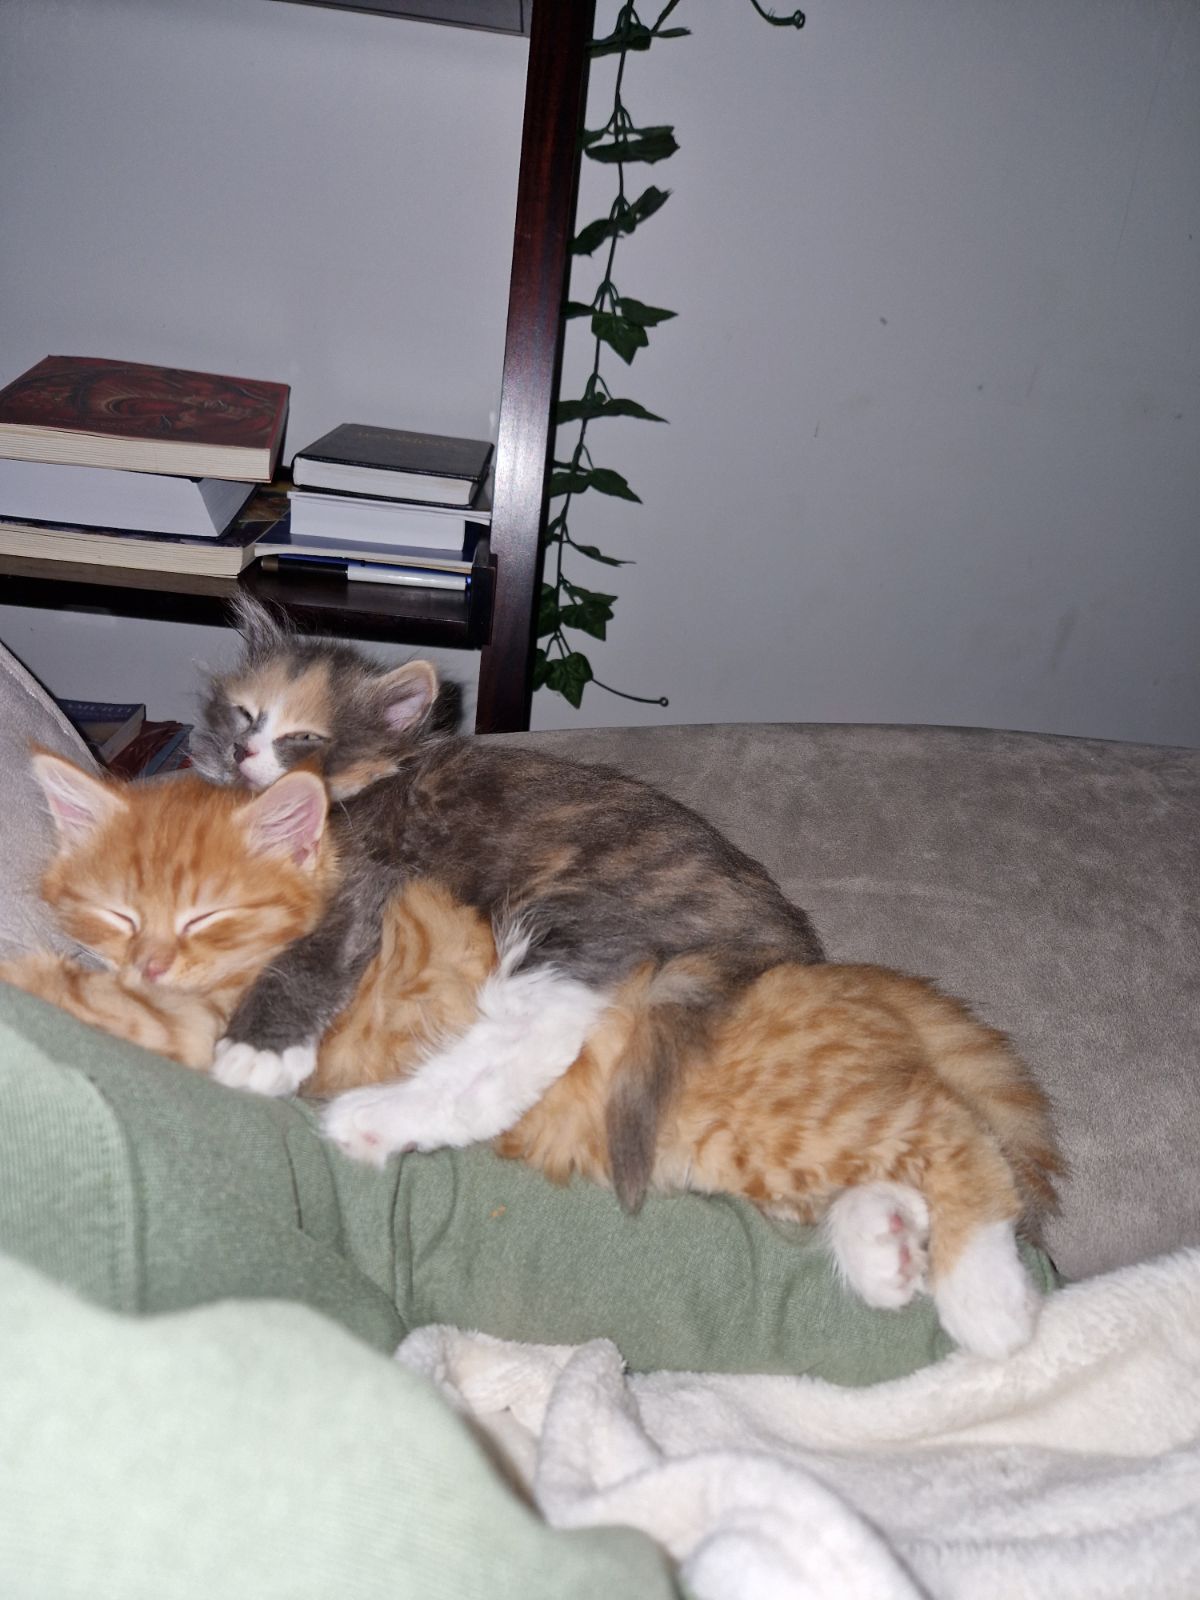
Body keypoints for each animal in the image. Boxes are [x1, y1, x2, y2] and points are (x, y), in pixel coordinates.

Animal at [190, 595, 826, 1207]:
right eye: (245, 713)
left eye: (303, 738)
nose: (243, 751)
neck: (374, 781)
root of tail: (780, 928)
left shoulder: (369, 874)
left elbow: (311, 953)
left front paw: (258, 1050)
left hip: (575, 911)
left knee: (543, 1025)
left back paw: (371, 1118)